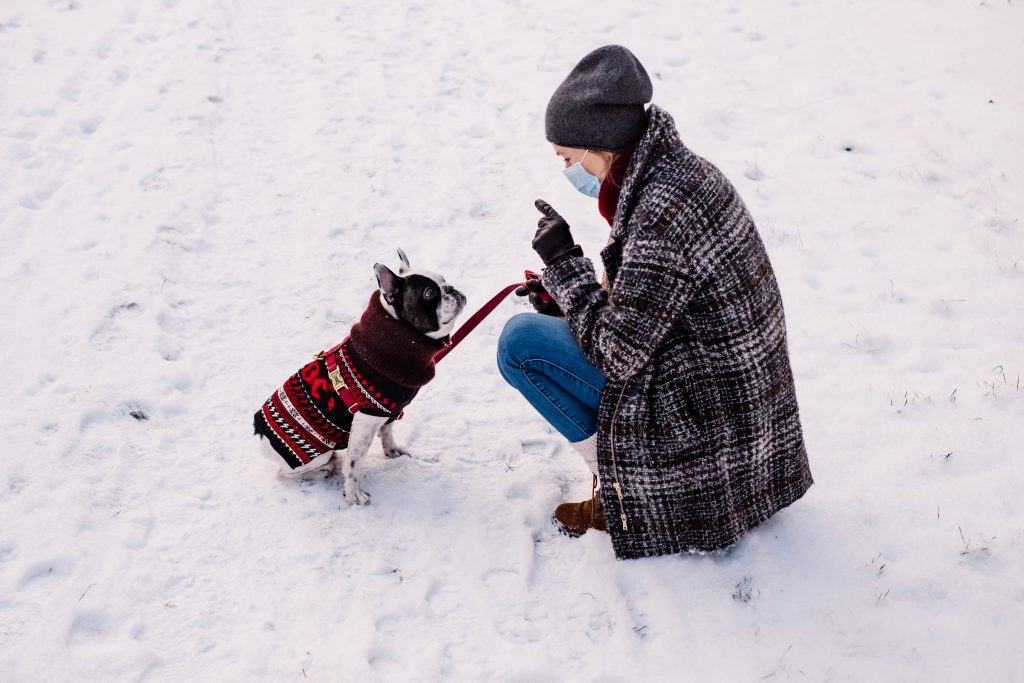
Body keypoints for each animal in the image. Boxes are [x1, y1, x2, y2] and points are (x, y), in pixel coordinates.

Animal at [253, 248, 466, 505]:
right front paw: (353, 494)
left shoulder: (387, 412)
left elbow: (387, 431)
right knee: (284, 475)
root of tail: (259, 430)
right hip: (314, 454)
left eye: (444, 280)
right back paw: (323, 470)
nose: (451, 288)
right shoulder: (365, 421)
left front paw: (392, 451)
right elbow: (354, 463)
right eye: (429, 293)